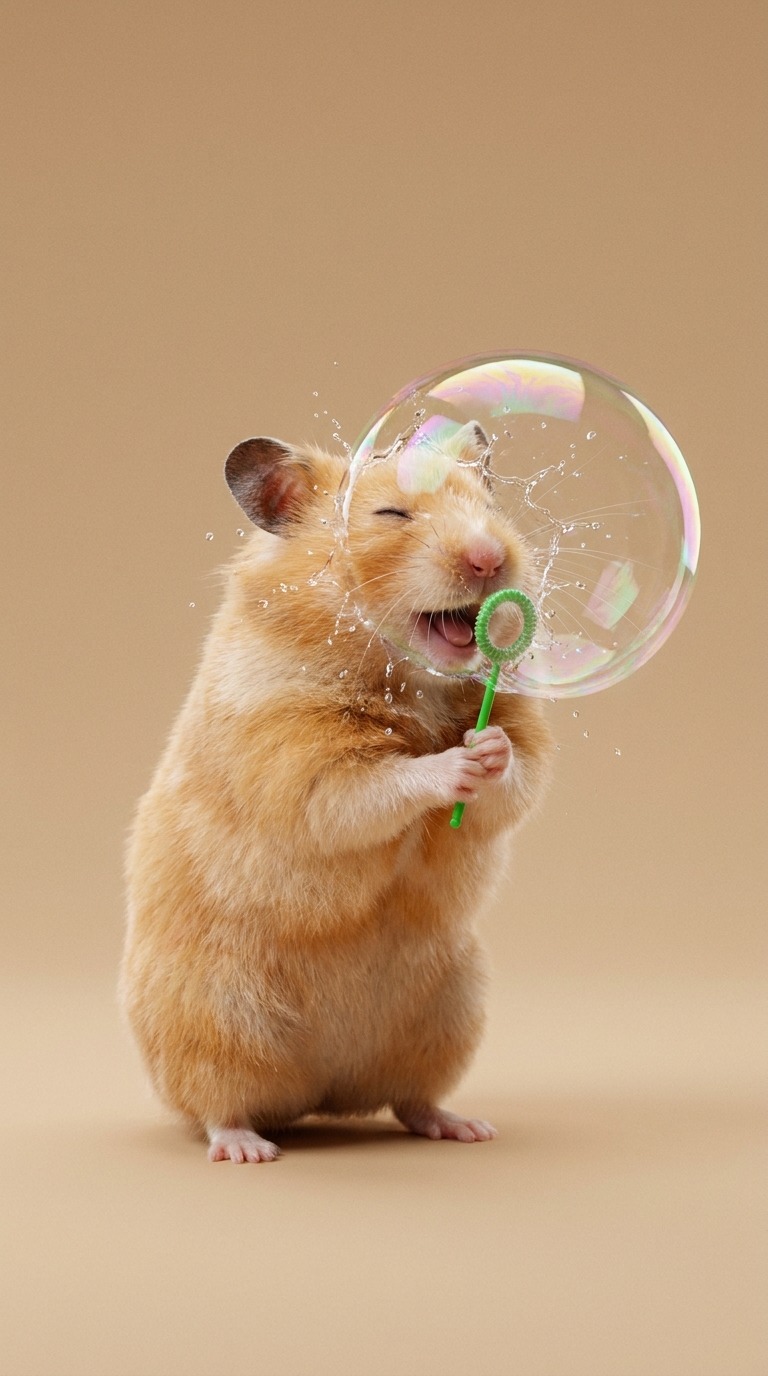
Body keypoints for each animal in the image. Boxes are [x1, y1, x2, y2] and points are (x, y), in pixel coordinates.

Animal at [120, 423, 554, 1162]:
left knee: (409, 1099)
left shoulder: (520, 732)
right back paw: (248, 1148)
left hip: (453, 1005)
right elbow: (367, 789)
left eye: (490, 510)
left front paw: (486, 751)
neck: (408, 678)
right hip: (210, 1013)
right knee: (215, 1102)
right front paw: (450, 765)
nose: (490, 557)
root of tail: (320, 1092)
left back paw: (463, 1127)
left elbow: (515, 778)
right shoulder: (296, 756)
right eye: (391, 514)